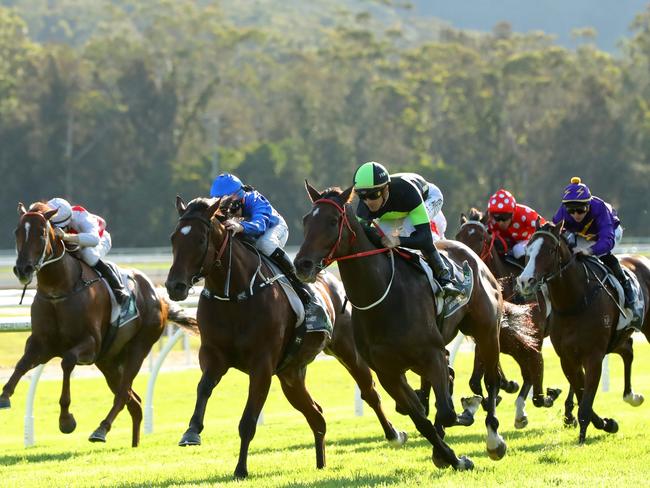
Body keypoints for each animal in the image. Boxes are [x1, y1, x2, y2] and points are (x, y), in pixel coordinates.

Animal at [0, 202, 197, 446]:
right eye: (17, 231)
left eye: (42, 233)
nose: (23, 269)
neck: (60, 289)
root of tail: (158, 296)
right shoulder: (41, 344)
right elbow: (21, 364)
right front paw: (5, 395)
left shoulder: (90, 344)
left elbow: (67, 361)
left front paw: (66, 420)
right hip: (109, 361)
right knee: (134, 402)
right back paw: (134, 443)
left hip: (138, 348)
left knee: (123, 395)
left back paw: (101, 430)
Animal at [165, 197, 402, 480]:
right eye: (173, 238)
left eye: (201, 240)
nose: (174, 286)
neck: (234, 295)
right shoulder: (213, 355)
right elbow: (203, 387)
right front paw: (191, 431)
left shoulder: (262, 365)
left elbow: (248, 421)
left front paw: (241, 469)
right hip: (291, 374)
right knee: (316, 415)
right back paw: (320, 463)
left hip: (347, 349)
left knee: (370, 391)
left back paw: (393, 433)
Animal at [292, 182, 508, 468]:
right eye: (306, 220)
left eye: (333, 220)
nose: (302, 264)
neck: (384, 297)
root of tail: (473, 257)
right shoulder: (388, 372)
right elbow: (420, 419)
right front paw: (451, 457)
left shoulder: (431, 355)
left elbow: (447, 412)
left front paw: (465, 415)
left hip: (486, 332)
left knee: (491, 381)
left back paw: (494, 439)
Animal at [456, 210, 556, 428]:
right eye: (459, 236)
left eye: (482, 238)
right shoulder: (487, 337)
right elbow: (475, 381)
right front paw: (498, 392)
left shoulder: (529, 338)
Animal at [512, 223, 644, 444]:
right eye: (528, 250)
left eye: (550, 250)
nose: (524, 281)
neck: (575, 301)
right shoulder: (567, 357)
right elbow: (583, 396)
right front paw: (606, 423)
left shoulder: (594, 356)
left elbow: (586, 399)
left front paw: (584, 434)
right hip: (615, 339)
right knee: (628, 350)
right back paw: (631, 396)